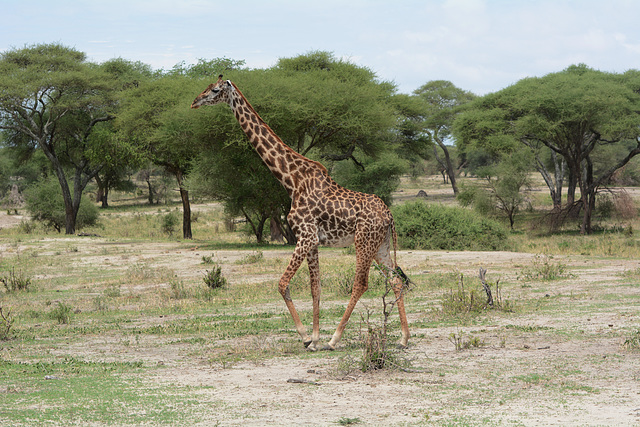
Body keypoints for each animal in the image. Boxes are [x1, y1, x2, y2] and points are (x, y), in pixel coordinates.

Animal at [191, 75, 410, 350]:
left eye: (215, 90)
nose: (195, 101)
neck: (291, 181)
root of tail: (389, 215)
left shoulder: (304, 236)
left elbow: (282, 283)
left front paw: (306, 337)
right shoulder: (313, 240)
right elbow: (315, 288)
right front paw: (314, 338)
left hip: (363, 242)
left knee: (361, 283)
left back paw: (335, 339)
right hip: (381, 245)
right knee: (396, 280)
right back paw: (403, 338)